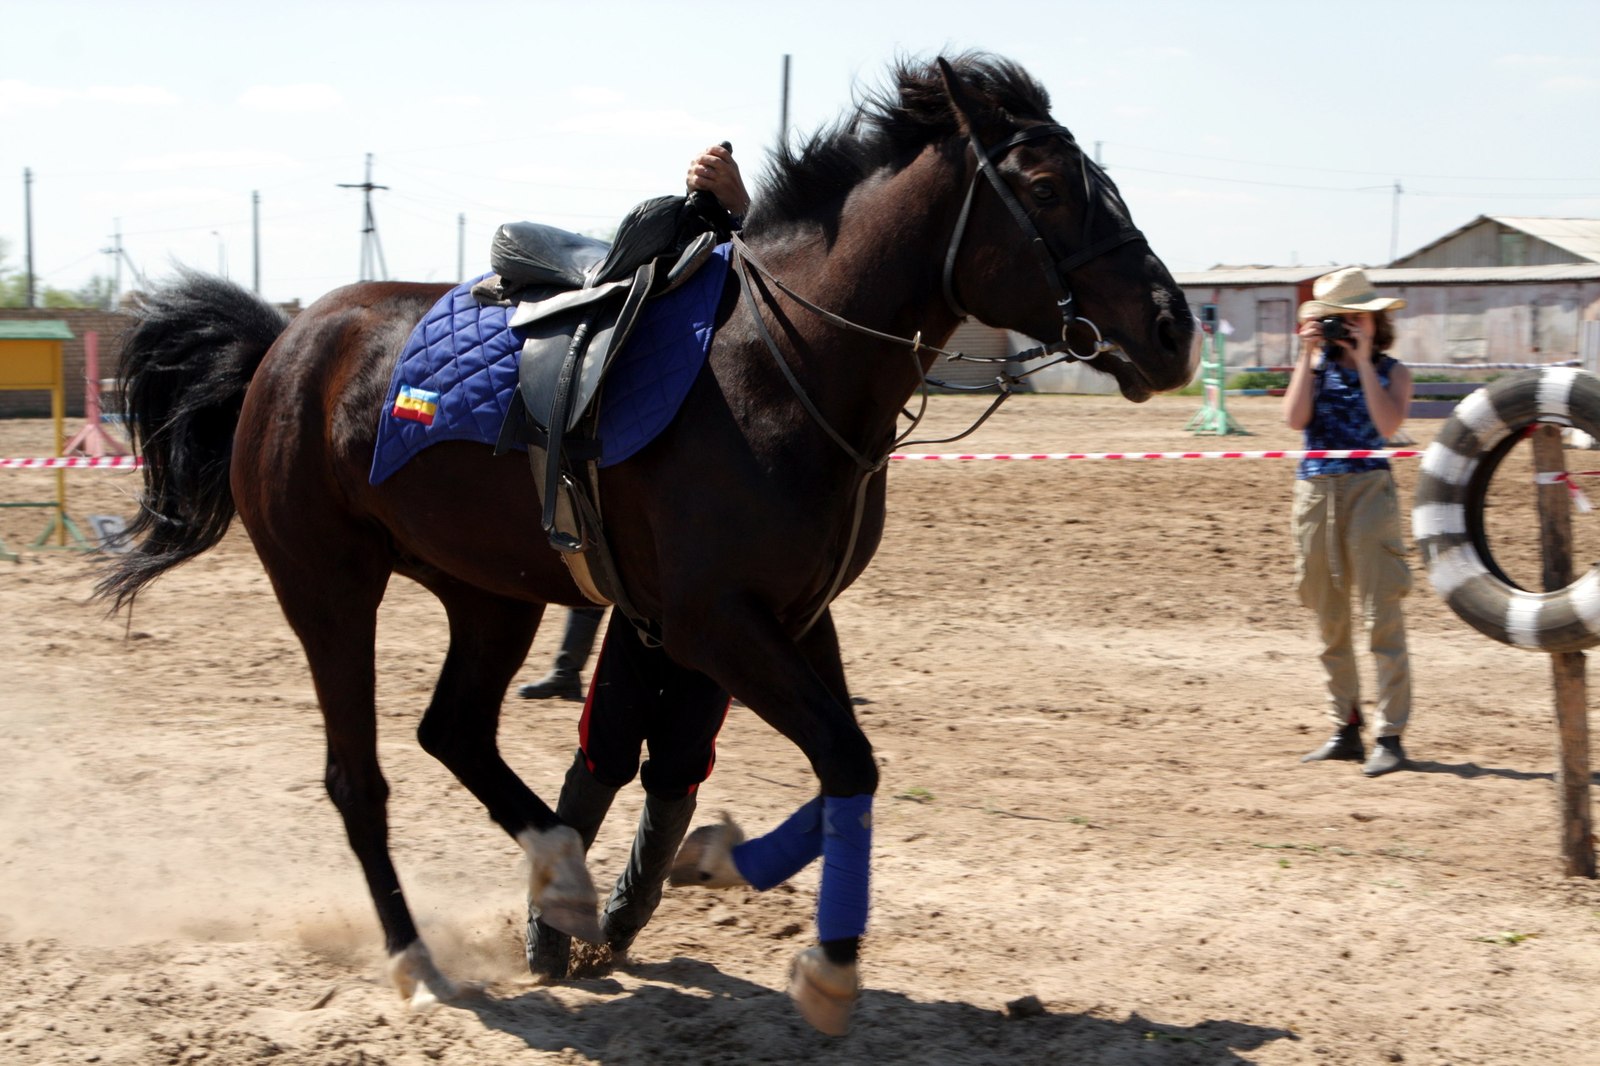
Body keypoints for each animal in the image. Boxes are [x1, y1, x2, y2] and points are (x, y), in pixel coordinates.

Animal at [100, 56, 1196, 1030]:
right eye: (1048, 188)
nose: (1175, 328)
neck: (783, 361)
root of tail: (281, 345)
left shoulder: (800, 613)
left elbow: (842, 765)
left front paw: (710, 863)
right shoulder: (717, 622)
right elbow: (843, 758)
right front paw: (827, 967)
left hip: (489, 593)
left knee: (455, 731)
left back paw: (564, 883)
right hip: (328, 586)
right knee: (358, 780)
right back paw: (422, 960)